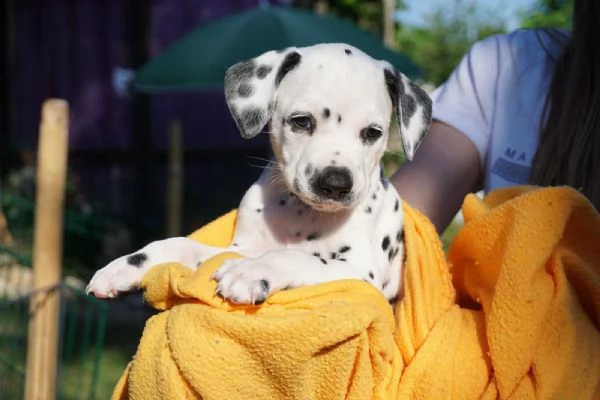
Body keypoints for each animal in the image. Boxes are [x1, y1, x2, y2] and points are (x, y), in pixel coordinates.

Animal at [85, 43, 432, 304]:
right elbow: (179, 244)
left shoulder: (361, 273)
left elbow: (298, 257)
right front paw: (125, 266)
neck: (304, 216)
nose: (335, 184)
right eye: (302, 121)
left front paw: (251, 271)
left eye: (373, 133)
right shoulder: (241, 248)